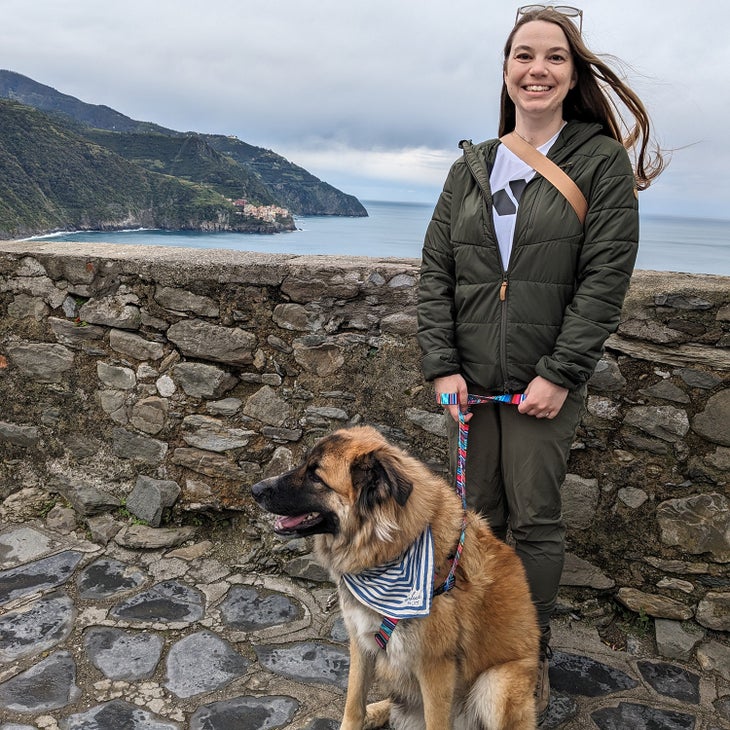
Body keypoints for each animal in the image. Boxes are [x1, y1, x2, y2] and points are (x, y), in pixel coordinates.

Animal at [249, 424, 536, 728]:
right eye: (304, 463)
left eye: (316, 476)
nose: (254, 490)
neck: (388, 549)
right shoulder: (361, 642)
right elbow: (353, 704)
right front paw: (358, 717)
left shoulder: (435, 667)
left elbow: (435, 721)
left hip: (496, 682)